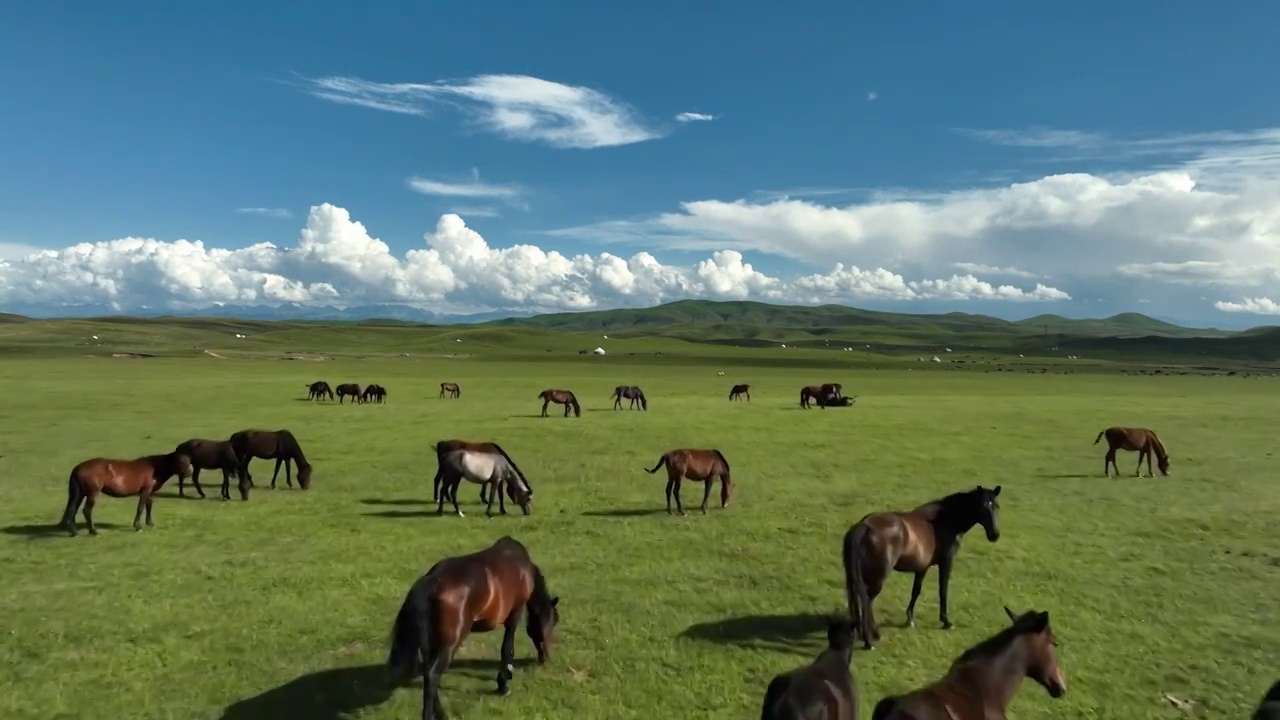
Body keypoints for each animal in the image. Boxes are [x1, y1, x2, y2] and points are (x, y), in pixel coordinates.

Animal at [59, 450, 192, 535]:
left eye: (189, 460)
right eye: (180, 461)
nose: (189, 473)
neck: (155, 468)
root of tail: (78, 468)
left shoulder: (150, 492)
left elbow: (149, 507)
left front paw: (150, 523)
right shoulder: (145, 491)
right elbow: (141, 508)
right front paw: (138, 526)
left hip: (80, 493)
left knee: (72, 509)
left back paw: (73, 531)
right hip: (92, 493)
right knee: (86, 511)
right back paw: (94, 531)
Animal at [381, 532, 558, 717]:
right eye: (553, 622)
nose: (545, 657)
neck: (522, 567)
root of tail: (432, 581)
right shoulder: (515, 613)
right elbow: (507, 649)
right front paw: (503, 684)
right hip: (450, 644)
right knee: (432, 675)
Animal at [844, 484, 1003, 648]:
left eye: (996, 506)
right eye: (983, 506)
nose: (994, 535)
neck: (944, 521)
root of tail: (865, 526)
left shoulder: (922, 568)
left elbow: (916, 591)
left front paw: (909, 619)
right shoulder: (946, 562)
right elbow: (943, 590)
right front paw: (946, 621)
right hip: (878, 576)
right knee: (867, 602)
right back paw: (869, 640)